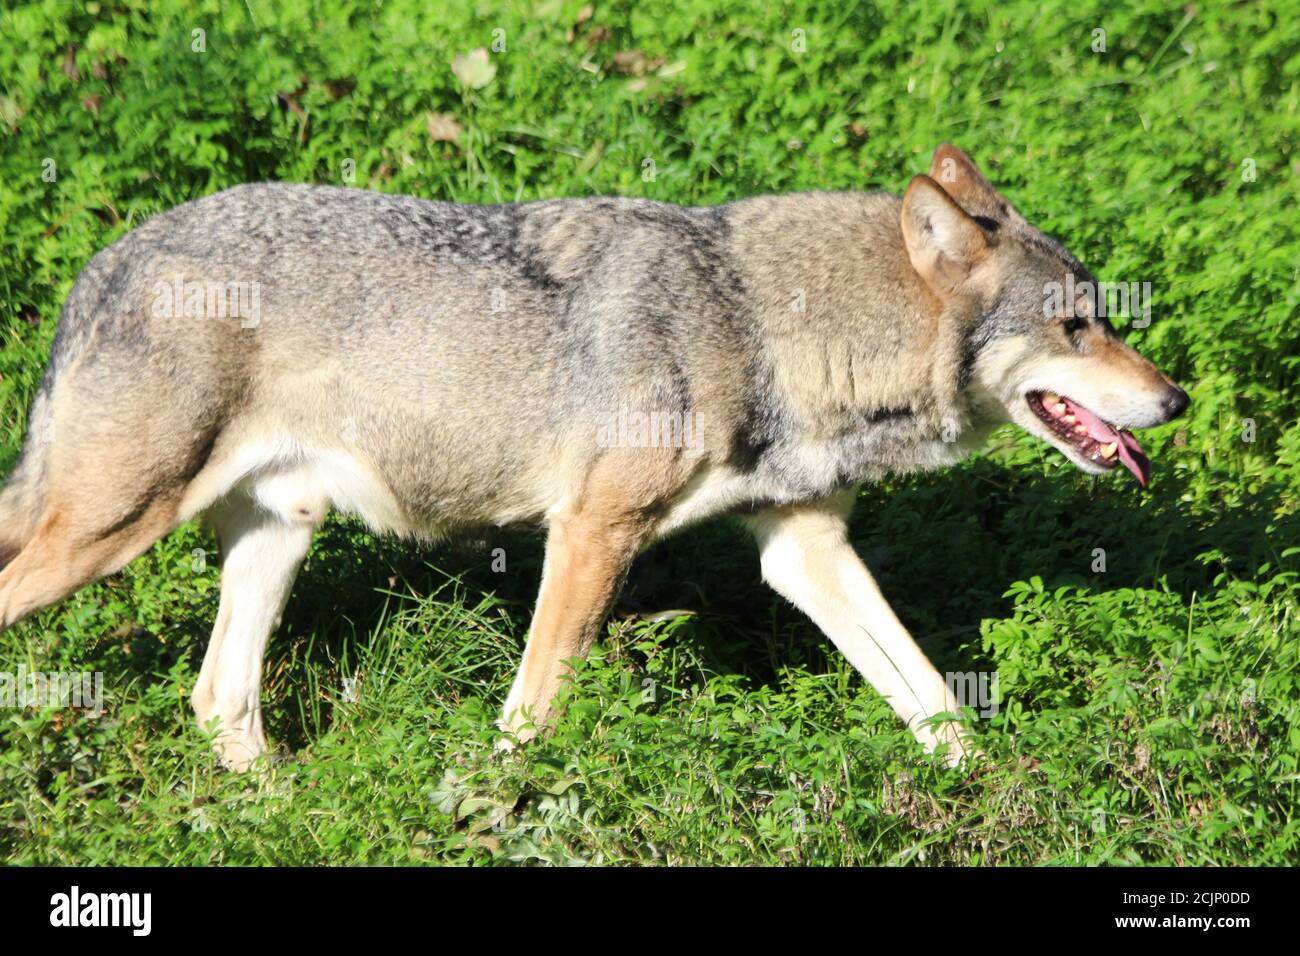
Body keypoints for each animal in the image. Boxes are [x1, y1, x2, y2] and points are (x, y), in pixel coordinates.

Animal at [0, 143, 1190, 770]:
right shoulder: (590, 533)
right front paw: (496, 809)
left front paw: (995, 791)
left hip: (274, 535)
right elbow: (530, 714)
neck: (762, 322)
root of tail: (106, 260)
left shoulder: (802, 550)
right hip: (104, 533)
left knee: (219, 701)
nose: (1174, 399)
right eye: (1077, 326)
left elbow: (932, 699)